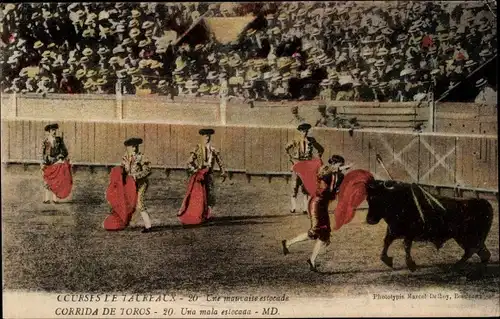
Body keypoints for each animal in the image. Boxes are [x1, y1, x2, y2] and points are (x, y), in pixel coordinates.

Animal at [364, 180, 492, 272]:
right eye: (368, 198)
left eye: (380, 198)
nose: (370, 220)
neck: (398, 201)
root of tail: (482, 202)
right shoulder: (392, 231)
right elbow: (386, 242)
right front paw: (388, 260)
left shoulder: (409, 233)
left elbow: (406, 245)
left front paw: (411, 265)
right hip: (469, 238)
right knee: (482, 253)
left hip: (466, 237)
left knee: (473, 250)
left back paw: (456, 266)